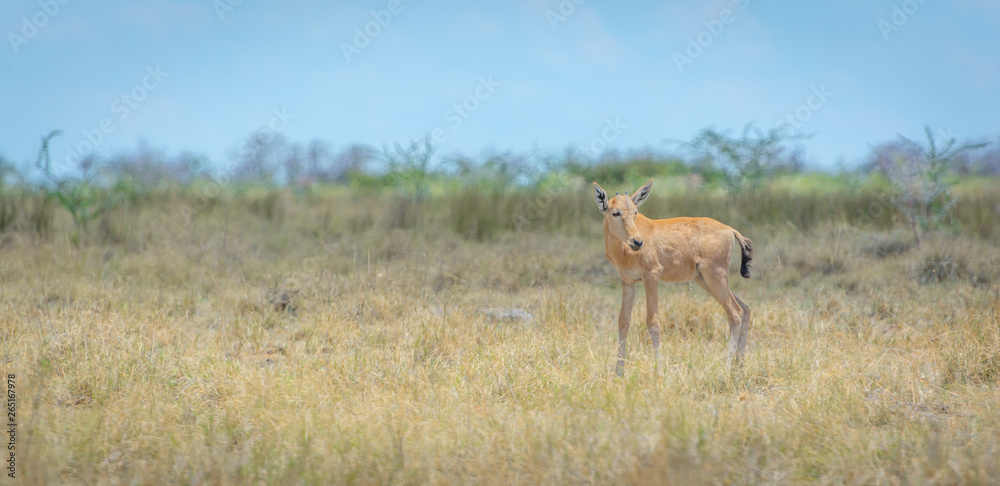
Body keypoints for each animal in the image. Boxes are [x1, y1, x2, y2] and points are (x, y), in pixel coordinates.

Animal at [592, 179, 752, 376]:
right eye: (615, 212)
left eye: (635, 212)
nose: (637, 242)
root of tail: (730, 230)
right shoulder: (628, 281)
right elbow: (623, 322)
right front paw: (618, 374)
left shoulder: (651, 276)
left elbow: (653, 322)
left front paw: (658, 371)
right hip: (705, 280)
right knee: (745, 308)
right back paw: (740, 366)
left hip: (715, 276)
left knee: (735, 313)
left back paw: (727, 366)